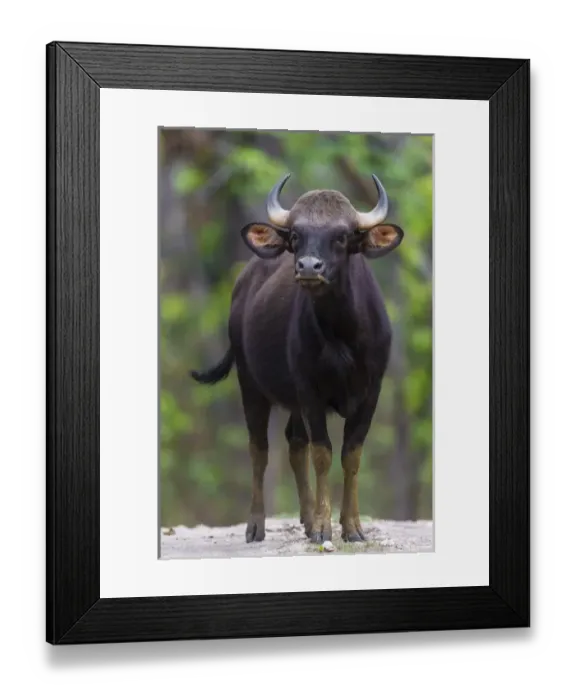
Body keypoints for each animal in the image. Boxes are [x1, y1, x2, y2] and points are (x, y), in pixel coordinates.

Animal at [190, 173, 404, 544]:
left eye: (342, 235)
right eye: (295, 235)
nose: (308, 267)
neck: (340, 336)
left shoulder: (371, 392)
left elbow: (351, 455)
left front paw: (351, 526)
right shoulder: (310, 391)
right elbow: (322, 453)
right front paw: (323, 526)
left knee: (294, 444)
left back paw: (305, 517)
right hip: (251, 384)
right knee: (259, 448)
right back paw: (257, 525)